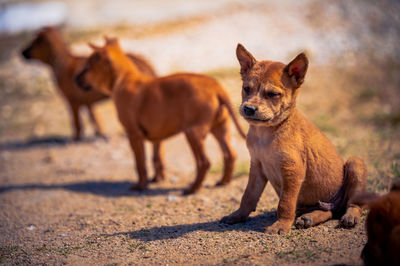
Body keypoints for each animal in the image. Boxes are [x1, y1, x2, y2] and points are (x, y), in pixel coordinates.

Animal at [21, 26, 156, 141]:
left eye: (33, 43)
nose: (21, 52)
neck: (62, 62)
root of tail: (145, 62)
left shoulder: (73, 102)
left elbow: (77, 124)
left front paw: (76, 139)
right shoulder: (88, 103)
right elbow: (95, 121)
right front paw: (100, 134)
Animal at [73, 38, 245, 194]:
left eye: (87, 67)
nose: (75, 79)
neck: (125, 78)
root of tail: (216, 87)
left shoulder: (134, 135)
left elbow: (140, 163)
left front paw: (141, 185)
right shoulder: (157, 136)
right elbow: (157, 159)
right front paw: (157, 179)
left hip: (192, 133)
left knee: (204, 162)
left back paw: (193, 189)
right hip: (220, 129)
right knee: (230, 155)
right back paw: (223, 182)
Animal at [220, 44, 368, 235]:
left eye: (272, 94)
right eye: (246, 88)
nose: (249, 109)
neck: (267, 133)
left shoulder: (292, 171)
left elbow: (285, 203)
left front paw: (281, 225)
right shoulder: (257, 168)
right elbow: (248, 196)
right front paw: (238, 215)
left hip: (355, 164)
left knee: (354, 204)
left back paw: (350, 216)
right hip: (322, 203)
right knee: (328, 212)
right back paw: (309, 218)